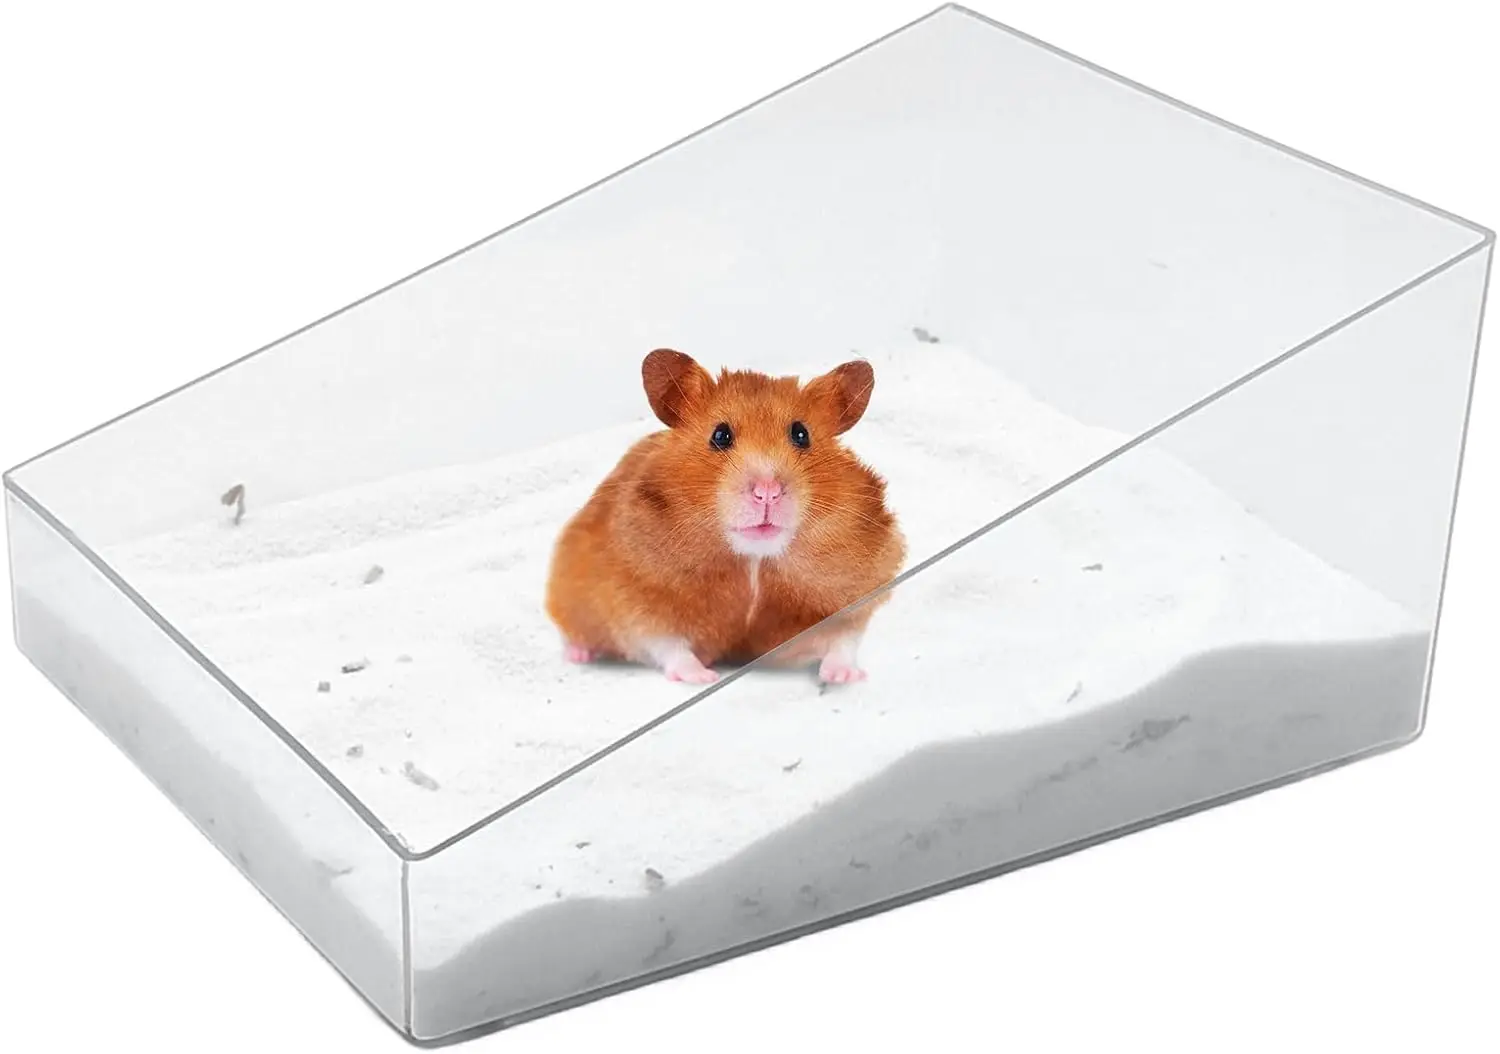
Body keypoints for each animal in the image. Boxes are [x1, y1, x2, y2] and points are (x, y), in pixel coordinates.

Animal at [544, 348, 906, 685]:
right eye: (720, 435)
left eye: (801, 434)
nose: (767, 492)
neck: (754, 558)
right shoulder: (632, 597)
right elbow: (667, 644)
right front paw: (704, 677)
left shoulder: (852, 592)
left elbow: (843, 639)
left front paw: (844, 676)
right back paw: (579, 655)